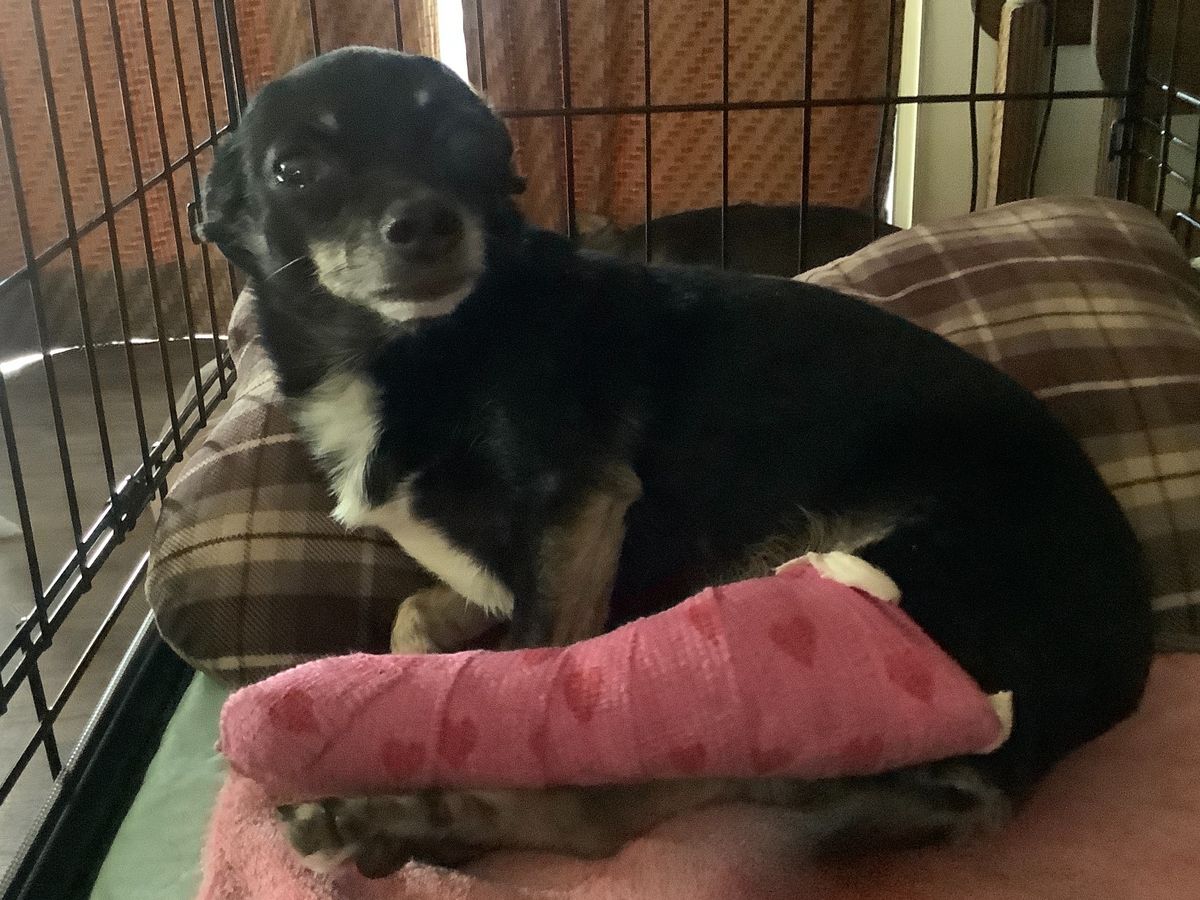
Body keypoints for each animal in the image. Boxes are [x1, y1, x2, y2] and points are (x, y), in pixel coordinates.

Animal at [199, 47, 1153, 876]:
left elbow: (520, 669)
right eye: (295, 169)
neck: (409, 351)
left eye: (467, 143)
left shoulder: (579, 508)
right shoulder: (493, 566)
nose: (428, 222)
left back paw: (384, 821)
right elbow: (417, 617)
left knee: (590, 813)